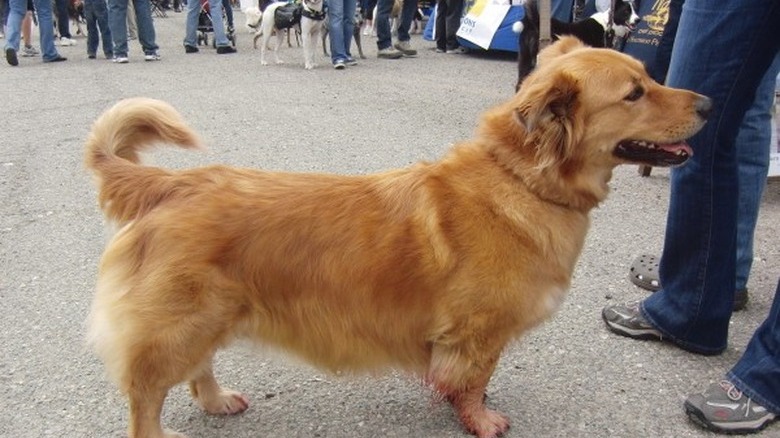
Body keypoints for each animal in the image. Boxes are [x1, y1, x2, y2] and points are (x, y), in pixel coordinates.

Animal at [87, 37, 712, 438]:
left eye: (649, 77)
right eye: (634, 93)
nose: (709, 103)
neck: (521, 178)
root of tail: (170, 184)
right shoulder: (478, 333)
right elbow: (474, 381)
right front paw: (480, 419)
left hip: (208, 317)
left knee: (198, 370)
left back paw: (216, 401)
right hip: (181, 324)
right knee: (146, 399)